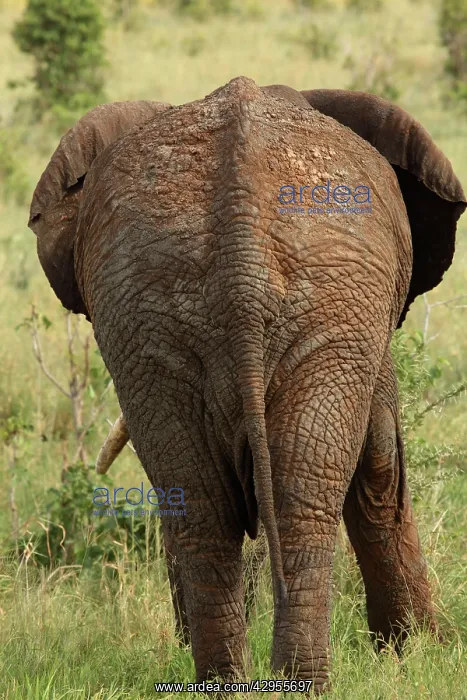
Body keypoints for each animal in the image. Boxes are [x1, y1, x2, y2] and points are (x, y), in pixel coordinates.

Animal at [29, 76, 466, 692]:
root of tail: (242, 258)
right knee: (298, 496)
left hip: (146, 314)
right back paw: (305, 685)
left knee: (202, 503)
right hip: (319, 307)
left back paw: (225, 683)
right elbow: (381, 459)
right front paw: (420, 651)